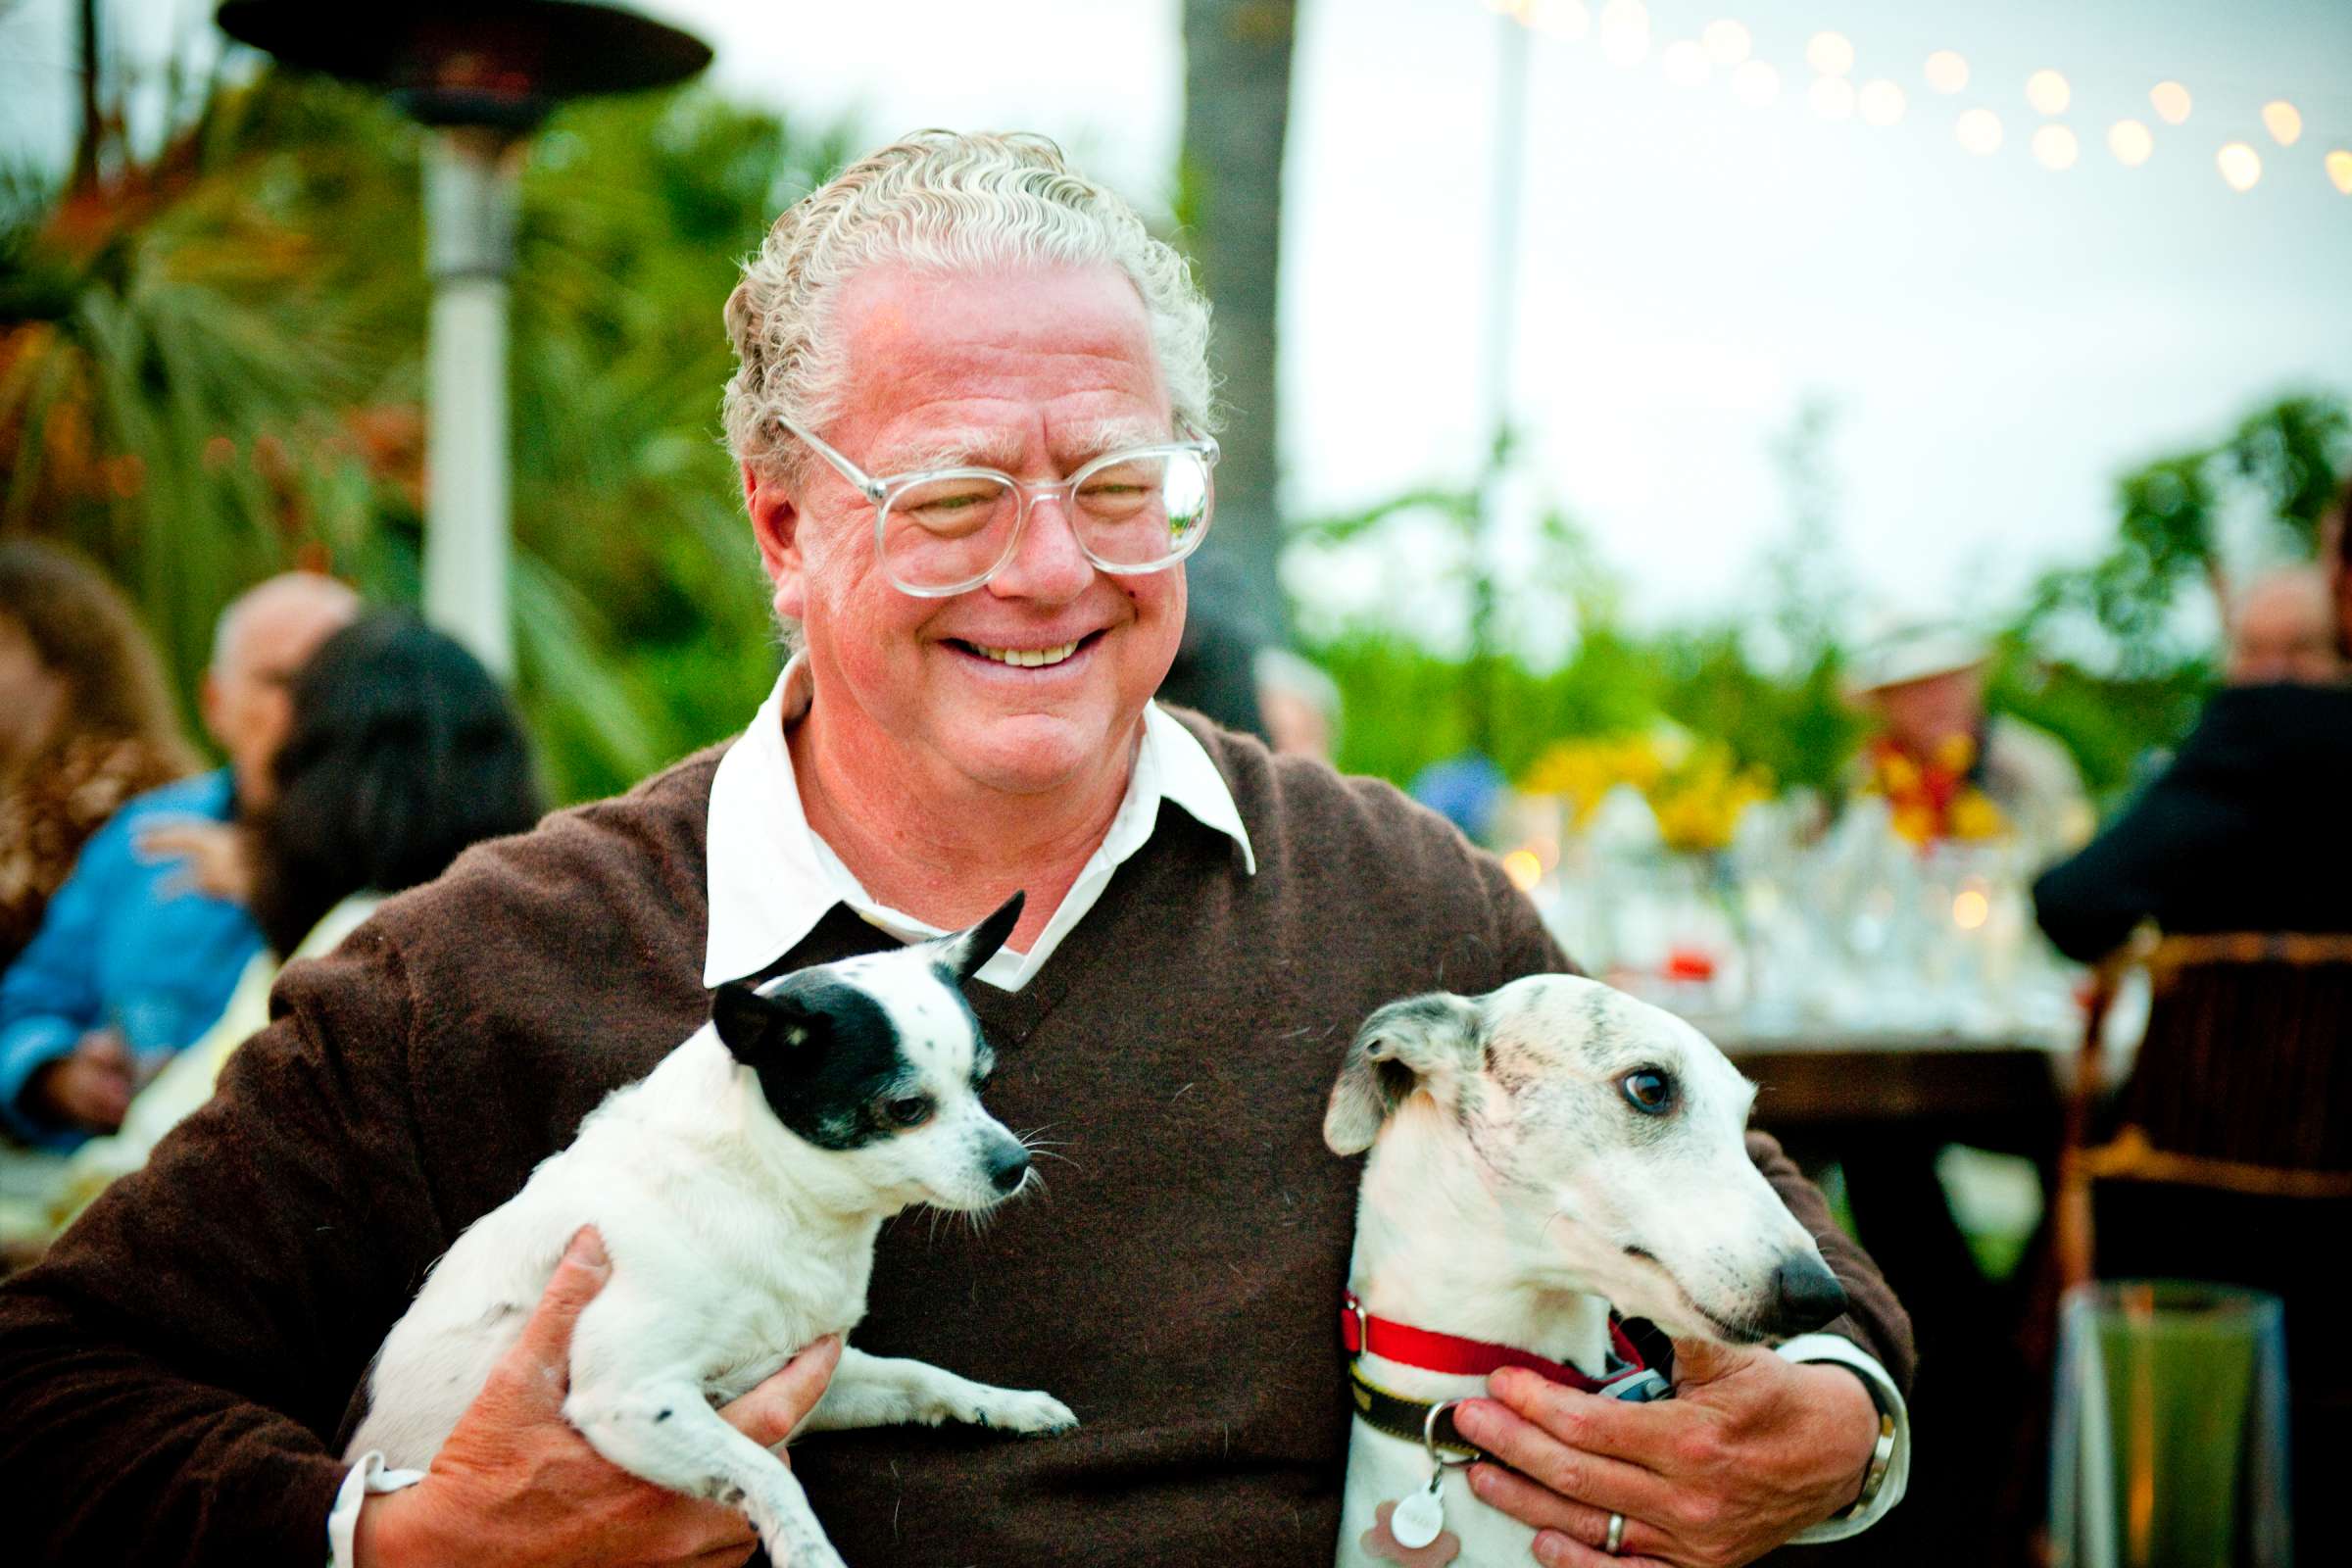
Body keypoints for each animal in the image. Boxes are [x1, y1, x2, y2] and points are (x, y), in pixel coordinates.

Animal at [345, 893, 1077, 1568]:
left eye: (984, 1083)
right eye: (906, 1108)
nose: (1016, 1164)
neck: (769, 1194)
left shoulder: (809, 1377)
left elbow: (918, 1376)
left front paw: (1002, 1404)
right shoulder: (633, 1398)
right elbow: (765, 1473)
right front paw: (809, 1552)